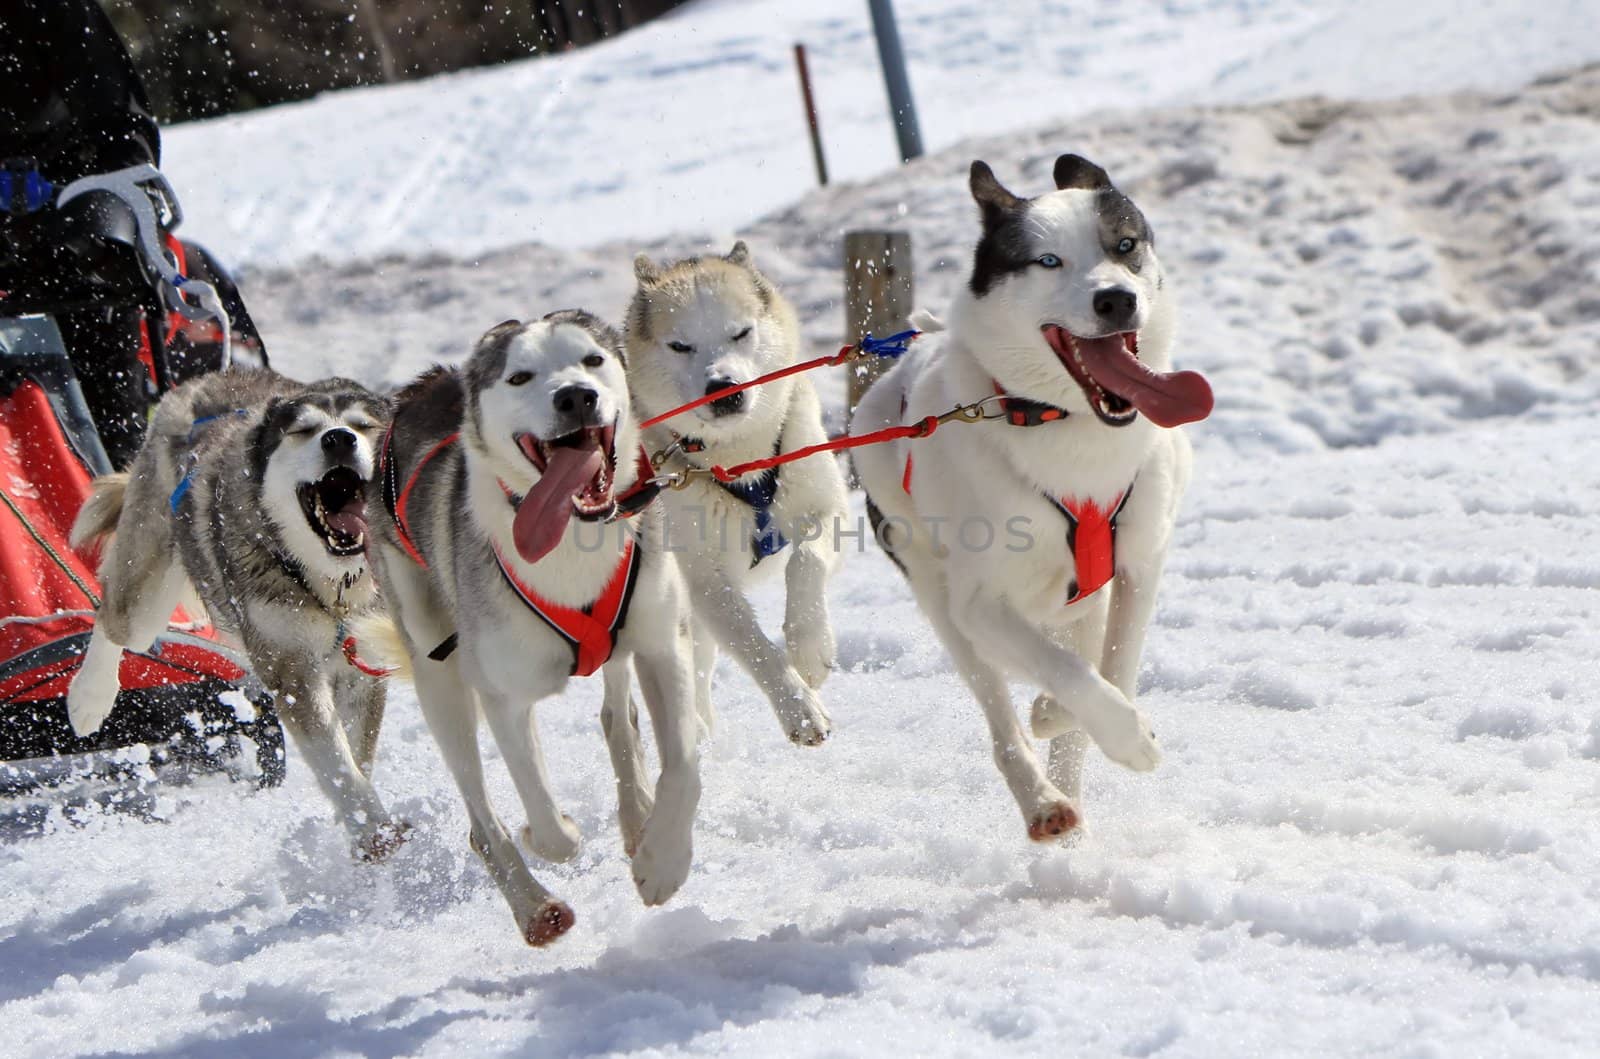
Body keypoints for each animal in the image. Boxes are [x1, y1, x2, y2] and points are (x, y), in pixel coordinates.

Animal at [70, 369, 406, 857]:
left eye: (364, 426)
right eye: (303, 430)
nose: (339, 438)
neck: (332, 590)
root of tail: (209, 378)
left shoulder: (363, 668)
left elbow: (356, 758)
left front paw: (361, 824)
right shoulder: (293, 672)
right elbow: (338, 763)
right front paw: (372, 830)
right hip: (145, 595)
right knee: (112, 621)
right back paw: (88, 697)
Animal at [374, 311, 700, 947]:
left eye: (592, 360)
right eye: (520, 377)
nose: (576, 396)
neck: (575, 536)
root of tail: (423, 384)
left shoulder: (662, 644)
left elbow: (685, 764)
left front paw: (663, 861)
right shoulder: (502, 695)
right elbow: (549, 825)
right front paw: (554, 834)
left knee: (618, 718)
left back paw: (636, 816)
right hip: (439, 681)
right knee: (481, 820)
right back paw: (534, 906)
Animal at [627, 244, 851, 751]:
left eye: (741, 332)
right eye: (680, 345)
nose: (724, 389)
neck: (741, 462)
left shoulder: (827, 506)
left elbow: (806, 561)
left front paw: (810, 646)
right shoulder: (704, 581)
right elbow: (753, 645)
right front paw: (799, 706)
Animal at [851, 153, 1209, 844]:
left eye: (1124, 246)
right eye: (1048, 261)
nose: (1117, 298)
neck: (1065, 427)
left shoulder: (1139, 564)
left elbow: (1116, 663)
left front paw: (1070, 714)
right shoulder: (982, 606)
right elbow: (1069, 673)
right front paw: (1126, 736)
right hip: (943, 606)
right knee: (1000, 718)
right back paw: (1044, 802)